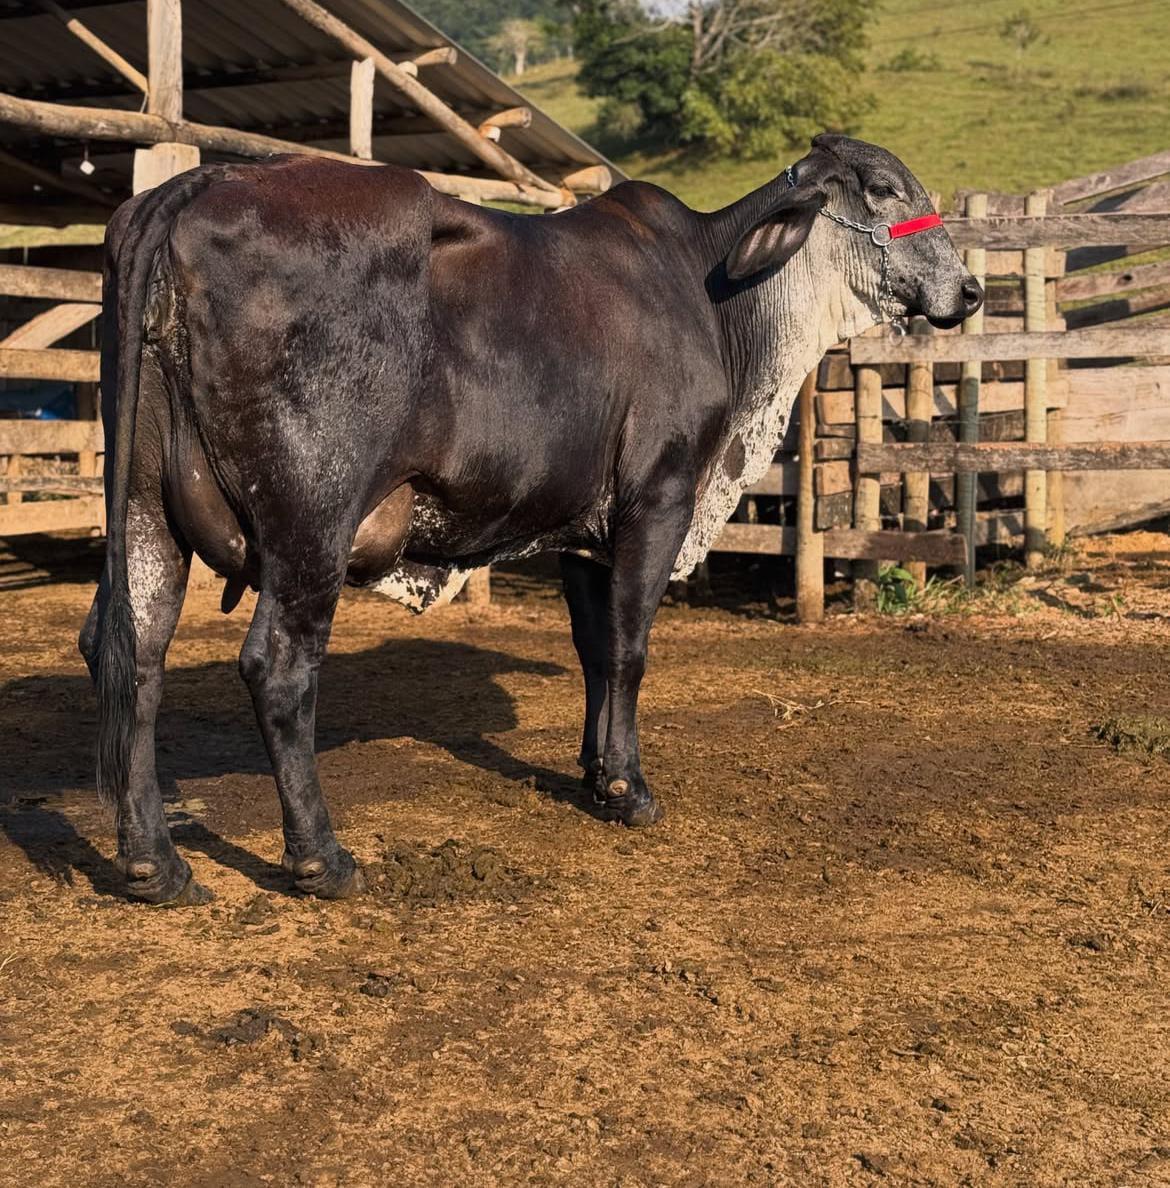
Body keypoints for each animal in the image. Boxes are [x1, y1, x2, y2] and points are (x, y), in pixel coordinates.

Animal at [80, 133, 983, 906]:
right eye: (883, 187)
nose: (971, 289)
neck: (713, 291)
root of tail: (197, 185)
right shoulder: (658, 496)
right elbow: (628, 650)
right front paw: (627, 789)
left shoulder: (584, 533)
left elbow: (593, 650)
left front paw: (592, 771)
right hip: (313, 521)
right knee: (276, 667)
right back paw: (321, 858)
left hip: (143, 509)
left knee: (132, 652)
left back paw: (154, 863)